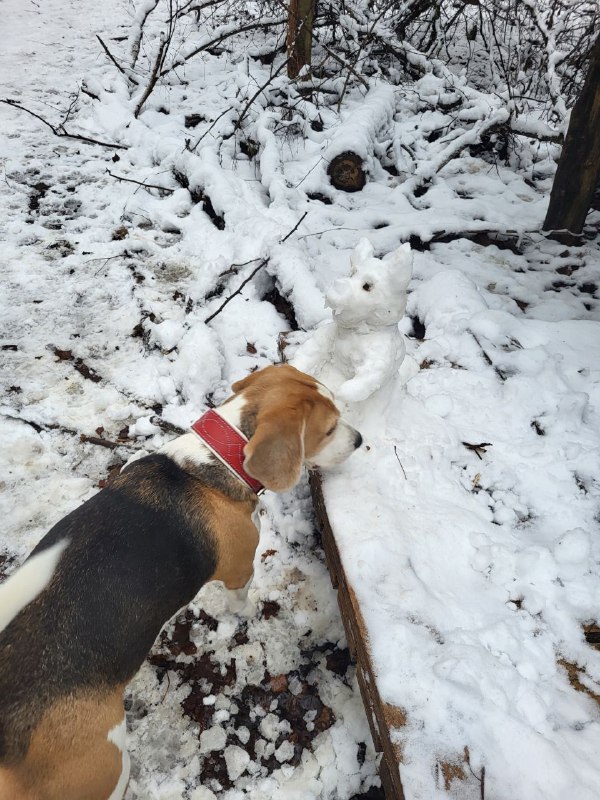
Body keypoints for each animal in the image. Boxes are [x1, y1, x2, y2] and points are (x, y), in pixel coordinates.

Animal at [0, 368, 360, 800]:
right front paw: (248, 613)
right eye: (329, 429)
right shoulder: (240, 569)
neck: (215, 460)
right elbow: (241, 600)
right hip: (106, 764)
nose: (359, 440)